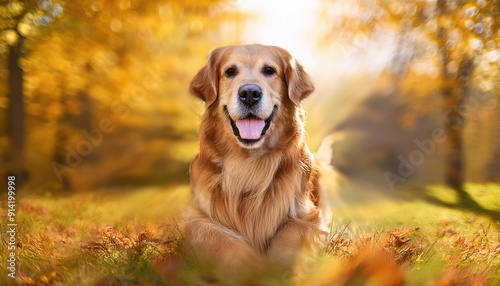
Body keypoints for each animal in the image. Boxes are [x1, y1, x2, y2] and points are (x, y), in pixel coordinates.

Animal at [182, 44, 330, 278]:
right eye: (230, 71)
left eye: (269, 70)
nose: (249, 94)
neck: (249, 165)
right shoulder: (193, 217)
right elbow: (217, 238)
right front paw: (249, 267)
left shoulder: (310, 216)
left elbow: (291, 233)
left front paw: (278, 270)